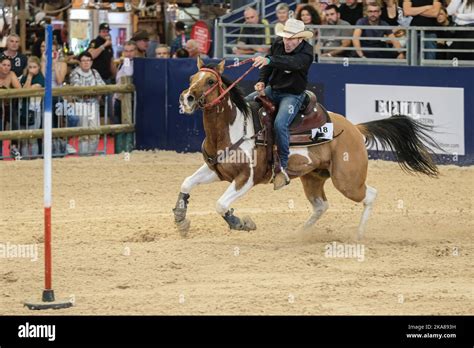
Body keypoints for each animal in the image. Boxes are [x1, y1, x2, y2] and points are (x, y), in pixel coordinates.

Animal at [175, 58, 440, 239]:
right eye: (191, 79)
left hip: (347, 181)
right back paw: (300, 233)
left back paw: (359, 234)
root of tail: (354, 128)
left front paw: (240, 223)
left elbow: (220, 204)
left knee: (370, 195)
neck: (234, 128)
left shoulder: (245, 178)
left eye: (210, 81)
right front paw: (180, 220)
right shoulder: (217, 170)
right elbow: (187, 183)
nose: (186, 98)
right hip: (313, 177)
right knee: (322, 205)